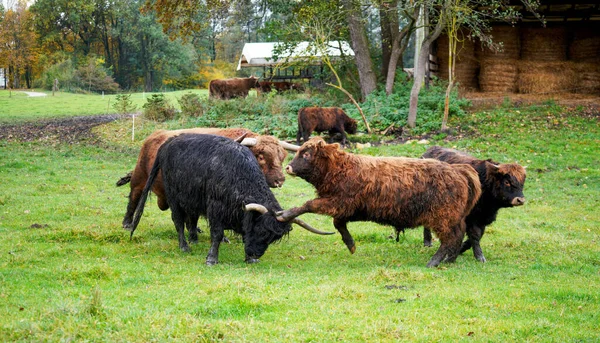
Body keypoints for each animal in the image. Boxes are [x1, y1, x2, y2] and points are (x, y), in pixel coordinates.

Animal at [117, 127, 300, 235]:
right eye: (261, 156)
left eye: (281, 156)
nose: (279, 180)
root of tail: (154, 136)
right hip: (140, 178)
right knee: (133, 198)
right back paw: (127, 223)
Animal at [129, 134, 332, 266]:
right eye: (260, 230)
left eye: (272, 238)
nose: (254, 253)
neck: (237, 174)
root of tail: (168, 143)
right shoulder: (215, 209)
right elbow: (217, 234)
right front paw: (212, 259)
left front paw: (249, 258)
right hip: (174, 197)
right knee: (178, 221)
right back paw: (185, 246)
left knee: (191, 219)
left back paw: (194, 239)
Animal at [278, 138, 482, 268]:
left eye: (306, 154)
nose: (288, 167)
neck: (340, 169)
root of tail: (458, 170)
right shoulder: (350, 208)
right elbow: (338, 223)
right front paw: (351, 244)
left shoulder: (337, 202)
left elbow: (309, 205)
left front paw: (284, 215)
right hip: (453, 218)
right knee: (458, 235)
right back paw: (449, 260)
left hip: (442, 217)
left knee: (449, 239)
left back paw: (434, 262)